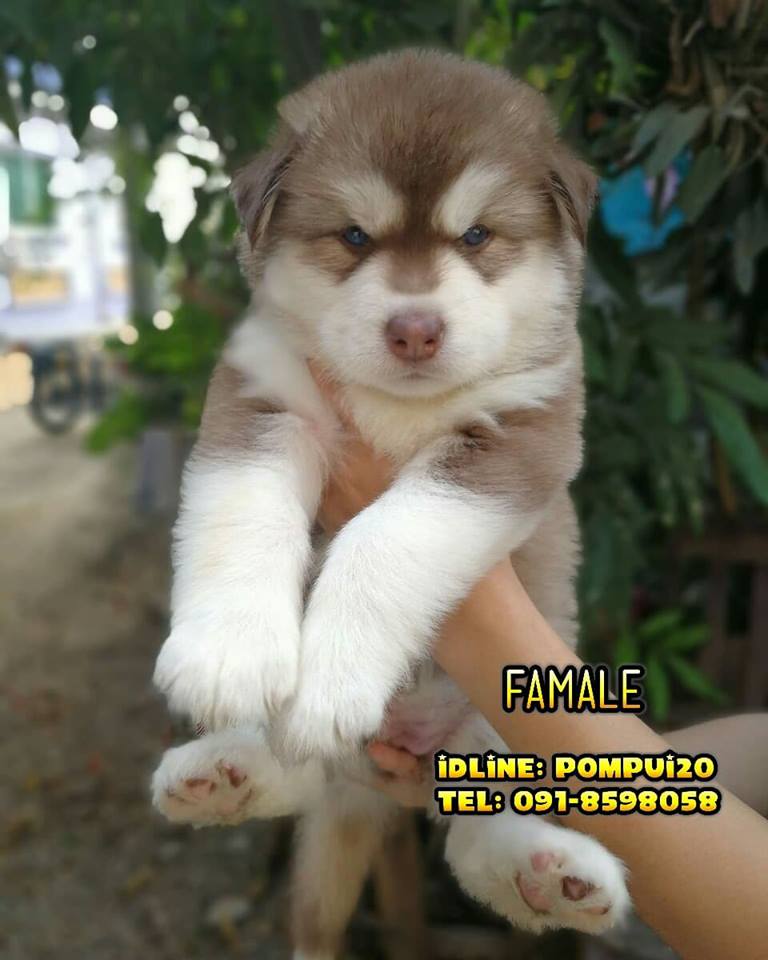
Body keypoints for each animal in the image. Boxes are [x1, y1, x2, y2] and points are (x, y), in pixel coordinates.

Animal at [151, 49, 630, 958]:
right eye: (353, 237)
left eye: (476, 236)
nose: (415, 329)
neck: (397, 405)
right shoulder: (262, 396)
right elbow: (243, 510)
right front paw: (227, 650)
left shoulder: (520, 434)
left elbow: (388, 534)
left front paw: (332, 677)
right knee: (310, 775)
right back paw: (226, 775)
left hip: (525, 706)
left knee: (477, 832)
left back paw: (547, 874)